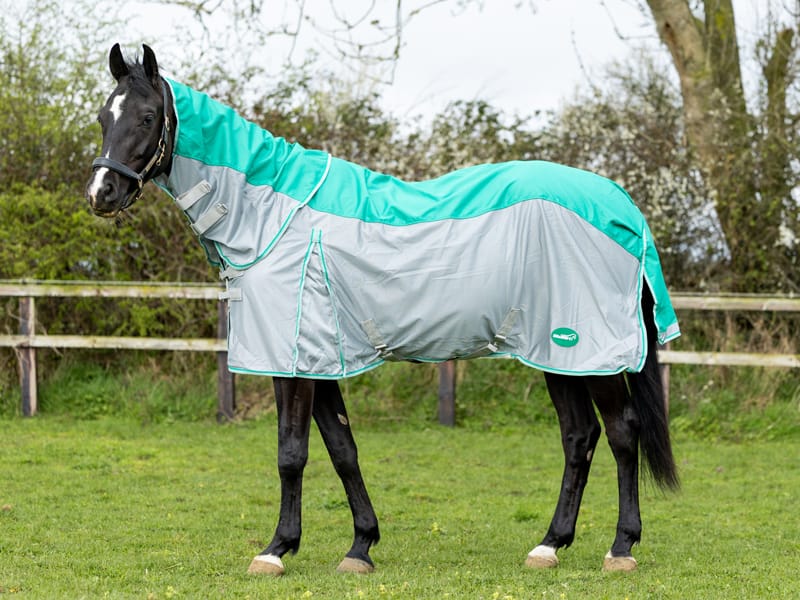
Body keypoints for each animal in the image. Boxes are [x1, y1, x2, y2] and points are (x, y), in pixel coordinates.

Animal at [85, 43, 680, 575]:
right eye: (102, 116)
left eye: (146, 117)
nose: (101, 193)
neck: (271, 213)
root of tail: (622, 206)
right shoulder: (319, 362)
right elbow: (342, 448)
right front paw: (360, 547)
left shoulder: (292, 363)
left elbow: (291, 453)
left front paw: (275, 550)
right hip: (557, 355)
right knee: (579, 438)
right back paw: (549, 545)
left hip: (592, 353)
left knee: (622, 432)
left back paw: (621, 548)